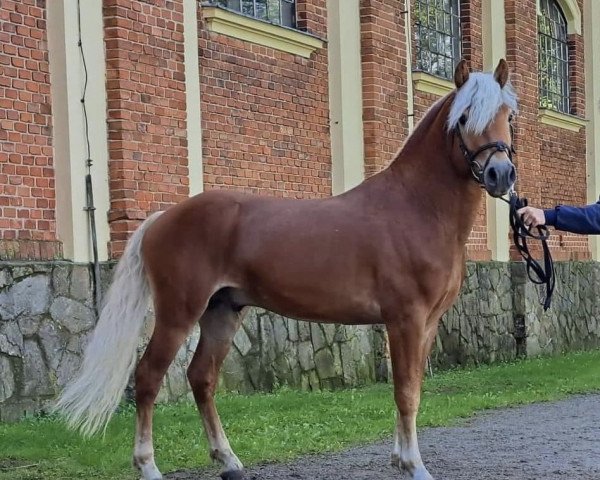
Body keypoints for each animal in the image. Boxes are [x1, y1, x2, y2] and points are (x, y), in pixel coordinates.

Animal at [54, 61, 516, 480]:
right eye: (464, 117)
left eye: (508, 116)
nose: (501, 174)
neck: (415, 208)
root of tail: (162, 218)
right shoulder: (405, 319)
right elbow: (406, 392)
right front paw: (414, 466)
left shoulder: (428, 323)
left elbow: (414, 387)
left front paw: (402, 458)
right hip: (178, 313)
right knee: (148, 377)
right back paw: (149, 467)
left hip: (222, 312)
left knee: (202, 378)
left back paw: (230, 462)